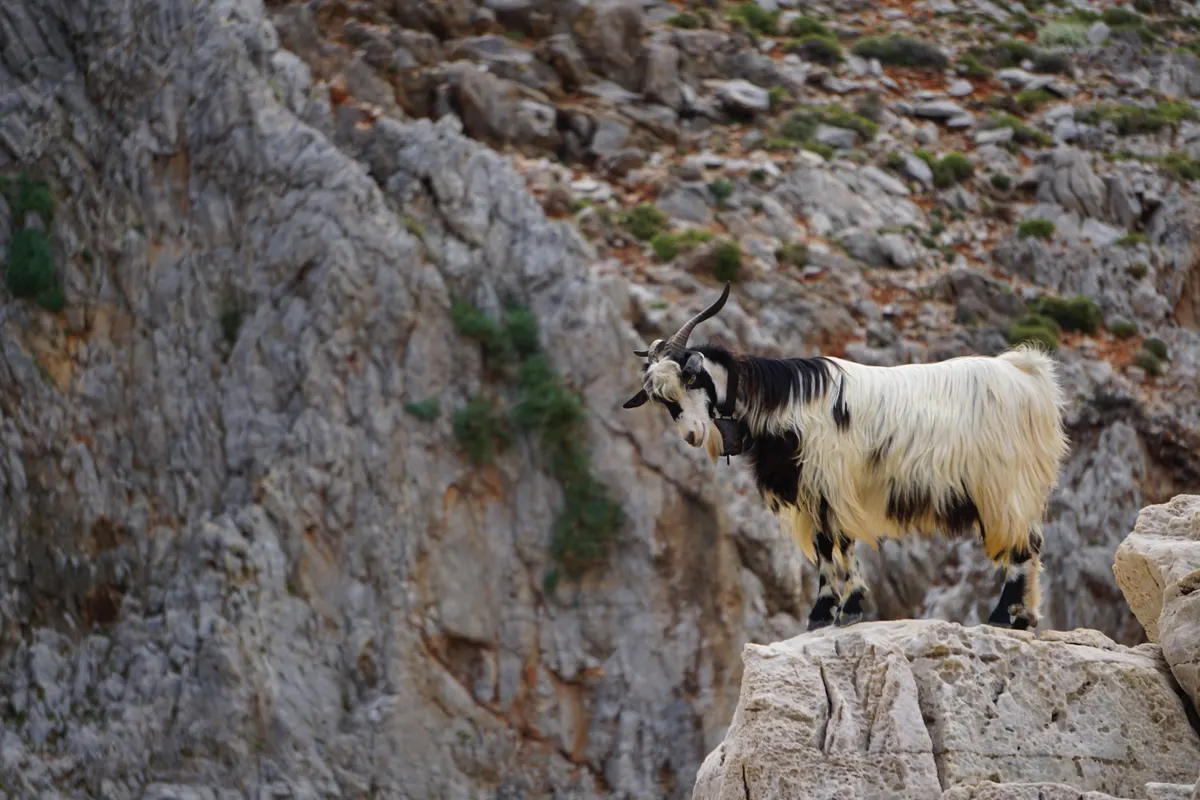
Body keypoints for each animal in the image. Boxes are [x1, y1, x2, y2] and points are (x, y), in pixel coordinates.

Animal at [622, 282, 1070, 632]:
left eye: (690, 378)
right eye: (663, 401)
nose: (693, 435)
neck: (786, 403)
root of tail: (1025, 374)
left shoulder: (829, 482)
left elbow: (839, 542)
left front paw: (844, 608)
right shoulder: (807, 491)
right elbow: (825, 549)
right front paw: (826, 613)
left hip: (1005, 481)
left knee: (1022, 544)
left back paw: (1003, 616)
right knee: (1031, 541)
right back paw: (1025, 617)